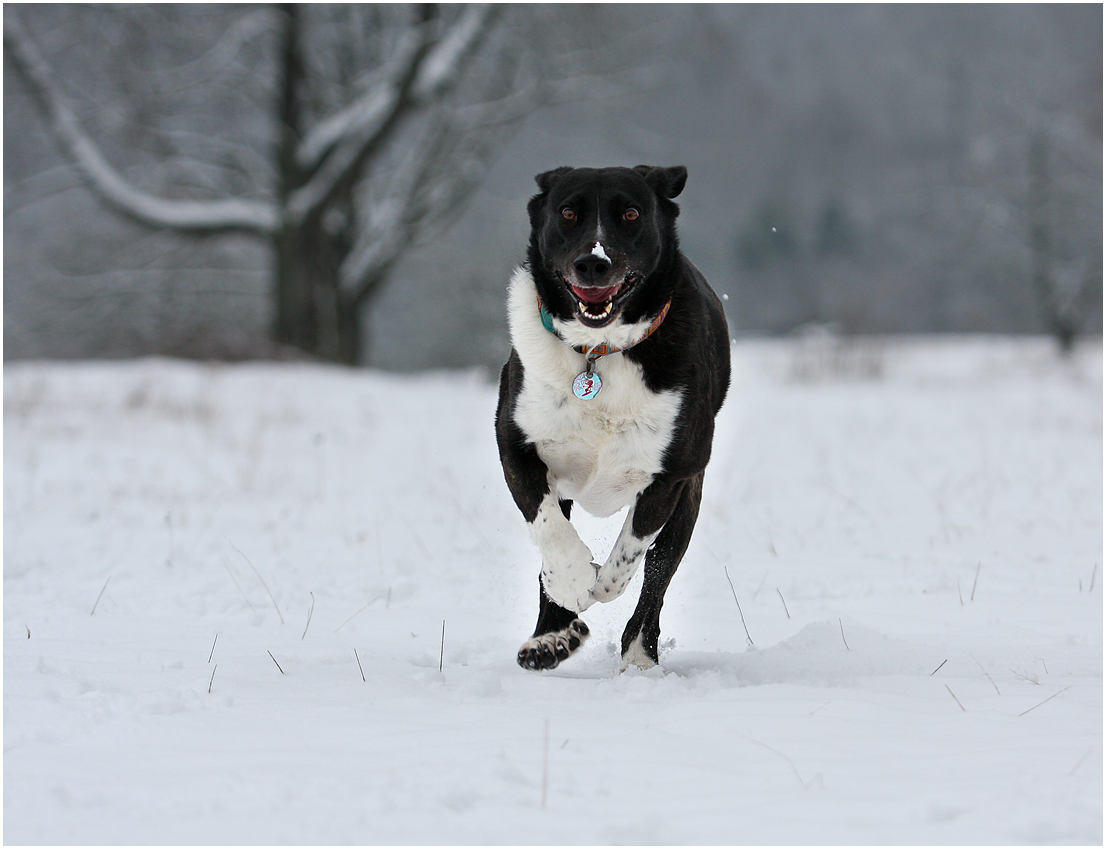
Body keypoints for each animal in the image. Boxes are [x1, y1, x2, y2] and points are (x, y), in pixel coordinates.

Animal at [497, 163, 729, 672]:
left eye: (631, 213)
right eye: (568, 212)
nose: (593, 262)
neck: (598, 353)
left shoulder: (670, 476)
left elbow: (631, 555)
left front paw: (598, 585)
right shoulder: (516, 444)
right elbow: (549, 529)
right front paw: (570, 587)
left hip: (689, 496)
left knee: (657, 576)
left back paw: (639, 658)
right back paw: (549, 638)